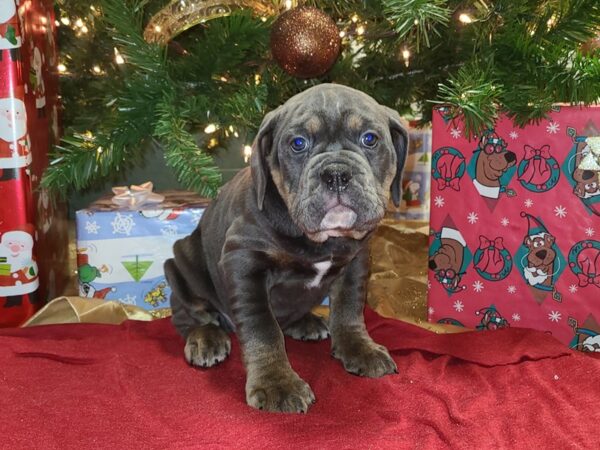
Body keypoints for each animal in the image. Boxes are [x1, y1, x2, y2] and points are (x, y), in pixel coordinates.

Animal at [164, 82, 408, 414]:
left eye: (370, 139)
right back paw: (205, 338)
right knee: (187, 314)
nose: (336, 174)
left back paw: (305, 322)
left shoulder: (356, 260)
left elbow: (349, 308)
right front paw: (276, 383)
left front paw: (359, 348)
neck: (322, 239)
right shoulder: (243, 263)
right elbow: (262, 327)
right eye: (298, 143)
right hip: (181, 265)